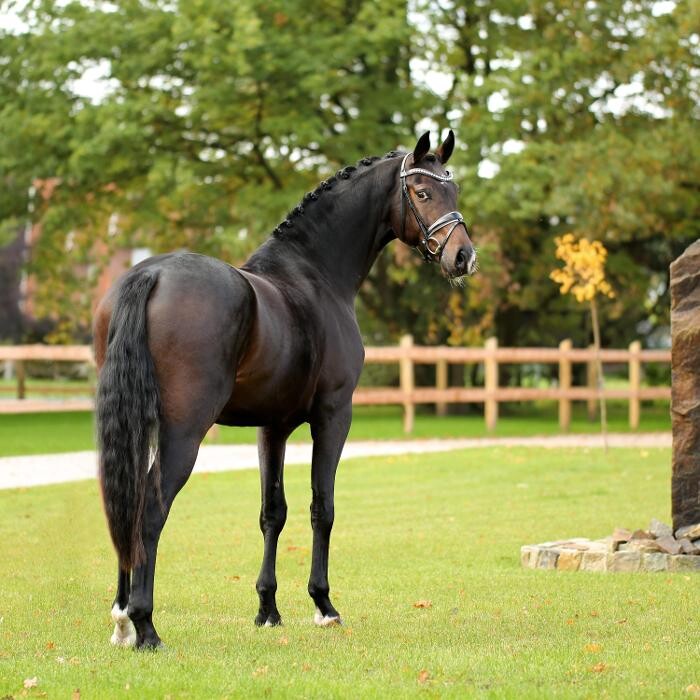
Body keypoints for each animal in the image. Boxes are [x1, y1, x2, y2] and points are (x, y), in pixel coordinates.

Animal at [94, 130, 476, 644]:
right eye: (421, 192)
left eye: (453, 190)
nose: (463, 256)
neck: (312, 275)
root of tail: (149, 274)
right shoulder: (334, 415)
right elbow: (322, 507)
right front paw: (324, 604)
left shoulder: (270, 428)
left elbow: (272, 512)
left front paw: (267, 609)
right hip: (183, 432)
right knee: (150, 509)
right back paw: (144, 624)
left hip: (133, 425)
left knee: (126, 500)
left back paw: (121, 618)